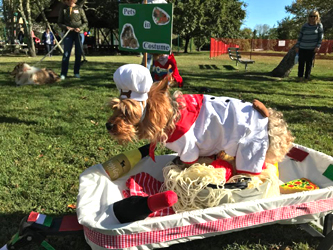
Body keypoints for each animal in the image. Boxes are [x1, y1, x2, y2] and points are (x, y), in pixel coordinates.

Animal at [106, 63, 294, 175]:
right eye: (114, 108)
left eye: (128, 112)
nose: (108, 125)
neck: (172, 114)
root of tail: (269, 118)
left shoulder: (189, 148)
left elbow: (189, 163)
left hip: (250, 149)